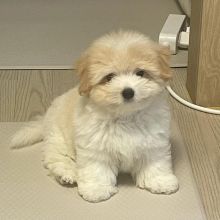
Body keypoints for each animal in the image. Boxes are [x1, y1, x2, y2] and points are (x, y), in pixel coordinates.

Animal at [11, 30, 179, 203]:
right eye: (109, 77)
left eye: (140, 73)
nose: (128, 92)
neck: (125, 116)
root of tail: (46, 117)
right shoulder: (94, 147)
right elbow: (97, 168)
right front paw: (97, 189)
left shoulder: (154, 142)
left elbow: (155, 162)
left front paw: (159, 181)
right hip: (58, 136)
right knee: (56, 157)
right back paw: (66, 174)